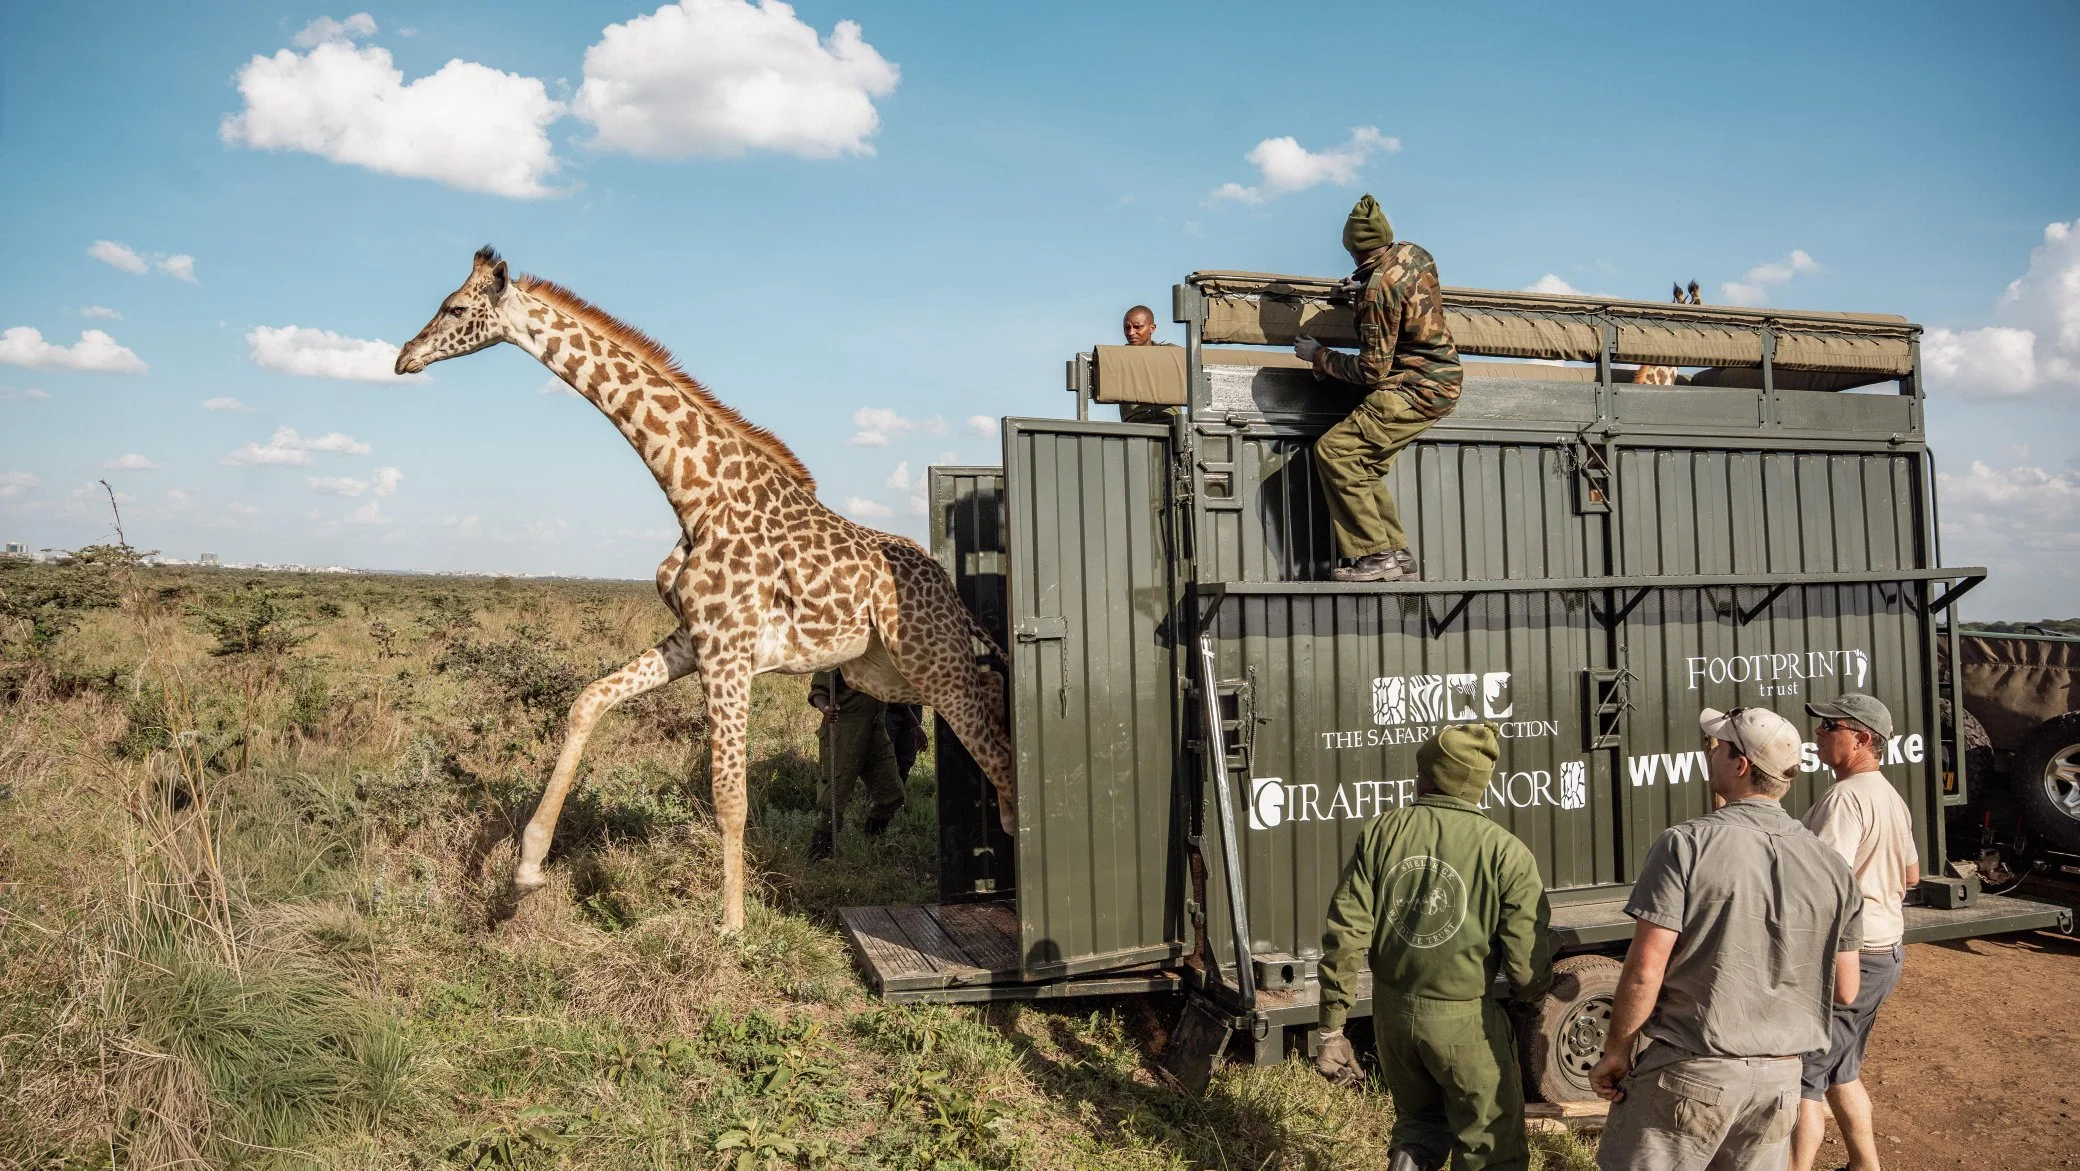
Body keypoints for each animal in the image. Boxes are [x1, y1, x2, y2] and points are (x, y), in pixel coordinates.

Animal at [393, 247, 1015, 932]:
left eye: (454, 308)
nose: (403, 358)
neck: (694, 494)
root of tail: (949, 590)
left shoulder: (729, 650)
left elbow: (729, 796)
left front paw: (732, 925)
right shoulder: (694, 639)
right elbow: (588, 701)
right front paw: (527, 869)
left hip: (931, 662)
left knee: (995, 738)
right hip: (880, 671)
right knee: (991, 706)